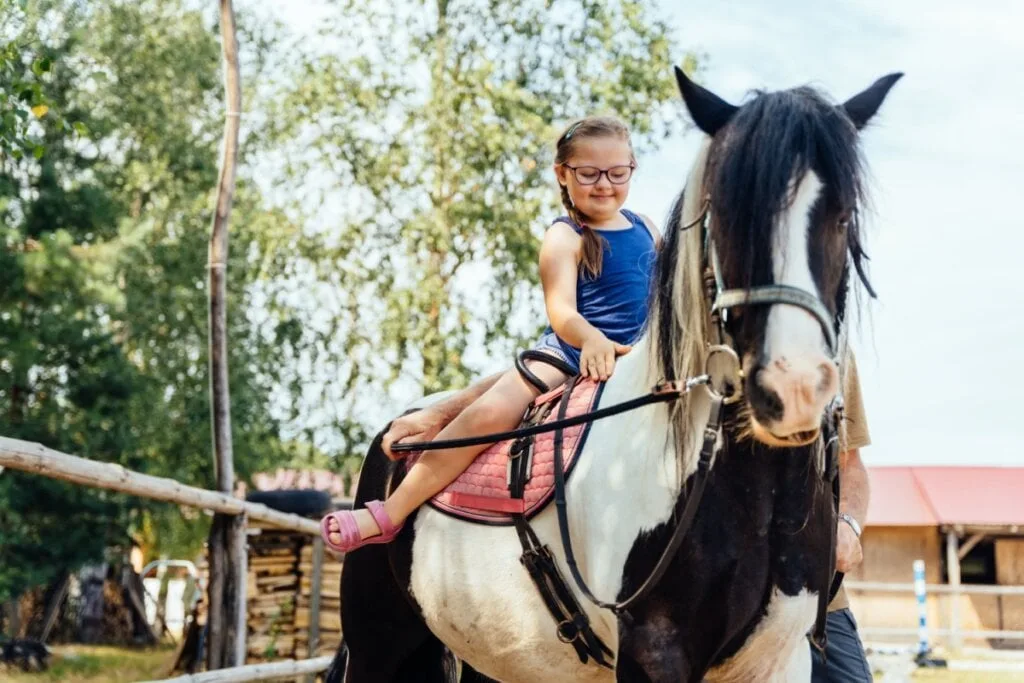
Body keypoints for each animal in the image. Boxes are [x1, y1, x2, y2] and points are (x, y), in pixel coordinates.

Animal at [327, 65, 897, 683]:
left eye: (842, 214)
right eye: (725, 215)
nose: (791, 386)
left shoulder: (780, 656)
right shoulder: (654, 652)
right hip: (380, 649)